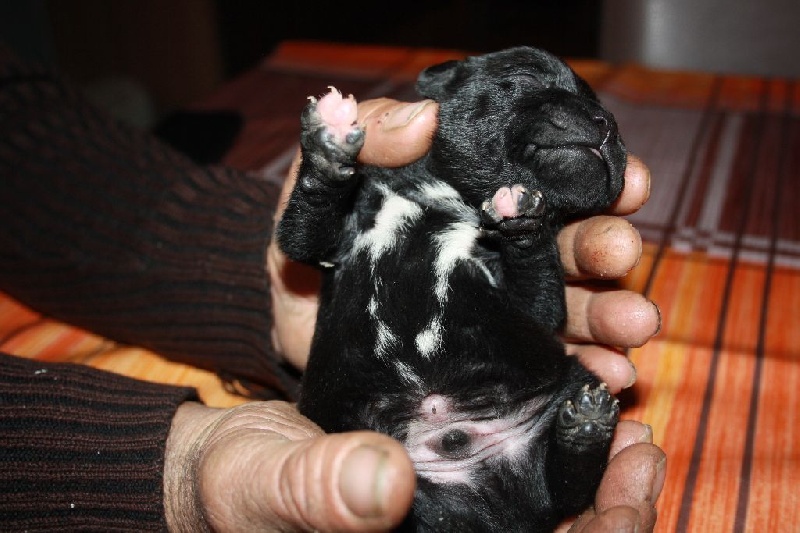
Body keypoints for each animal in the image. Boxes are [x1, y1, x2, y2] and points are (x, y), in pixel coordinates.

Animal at [277, 46, 626, 532]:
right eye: (525, 78)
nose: (606, 121)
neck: (449, 197)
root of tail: (504, 510)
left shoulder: (529, 308)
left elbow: (541, 299)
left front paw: (524, 220)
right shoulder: (330, 241)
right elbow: (305, 225)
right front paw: (330, 144)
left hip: (569, 383)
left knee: (564, 492)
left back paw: (585, 430)